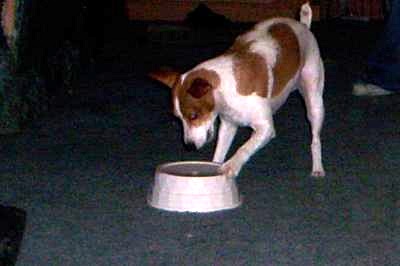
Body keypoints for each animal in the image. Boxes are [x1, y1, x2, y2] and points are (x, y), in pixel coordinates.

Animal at [150, 3, 324, 178]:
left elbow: (243, 149)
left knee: (315, 140)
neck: (226, 90)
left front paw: (231, 166)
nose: (189, 146)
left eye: (193, 116)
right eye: (177, 118)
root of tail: (302, 25)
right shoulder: (228, 125)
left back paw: (317, 167)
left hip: (314, 104)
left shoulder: (265, 128)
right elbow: (218, 154)